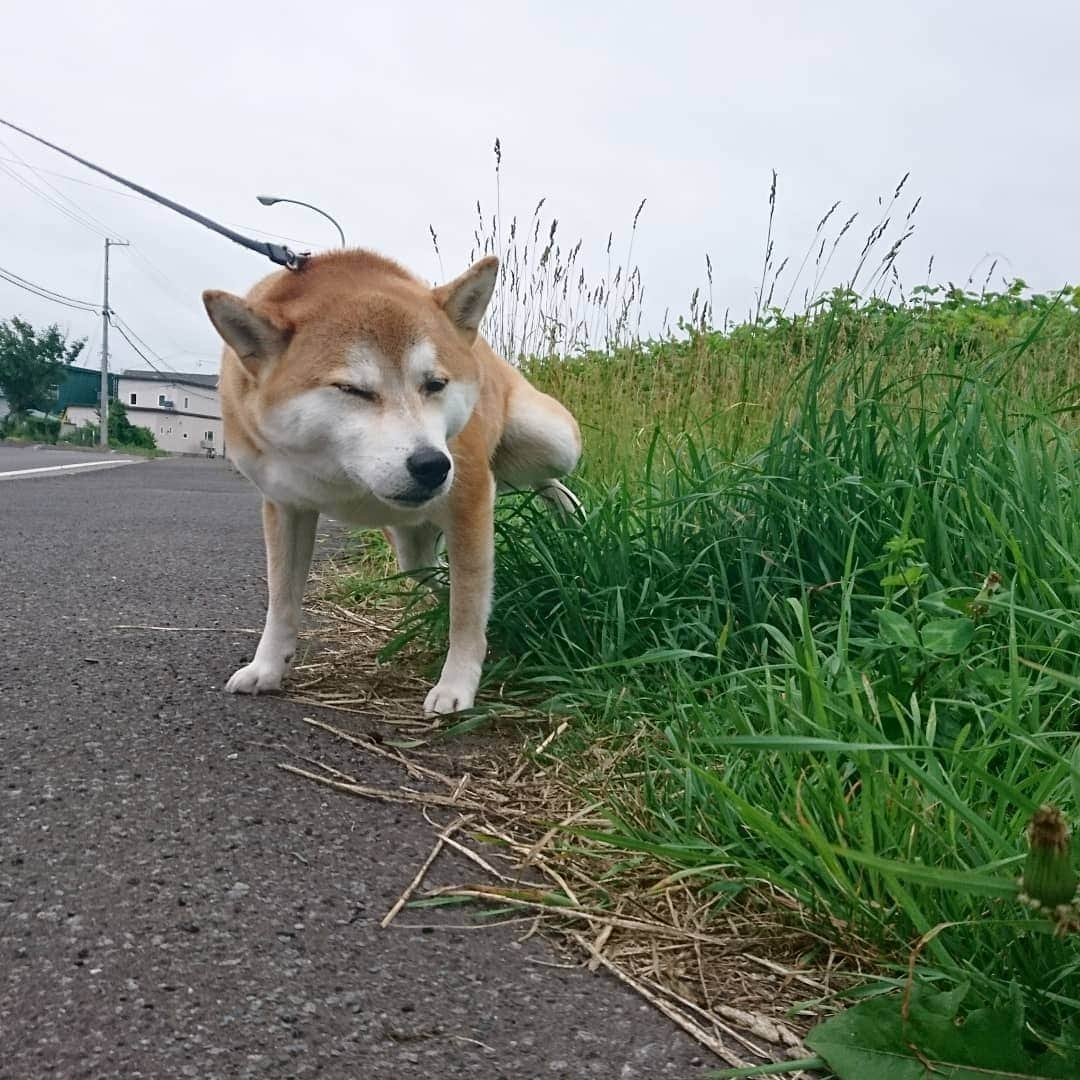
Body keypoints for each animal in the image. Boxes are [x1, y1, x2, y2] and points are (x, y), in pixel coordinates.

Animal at [206, 248, 587, 712]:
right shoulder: (286, 507)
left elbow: (467, 610)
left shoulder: (471, 495)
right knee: (437, 570)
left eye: (435, 384)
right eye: (352, 390)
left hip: (550, 442)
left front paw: (457, 684)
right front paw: (267, 668)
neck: (343, 474)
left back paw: (569, 510)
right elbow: (281, 601)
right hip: (411, 547)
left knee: (539, 477)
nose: (432, 465)